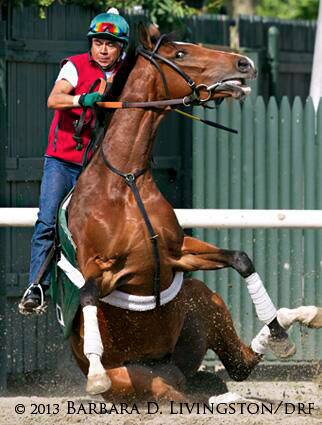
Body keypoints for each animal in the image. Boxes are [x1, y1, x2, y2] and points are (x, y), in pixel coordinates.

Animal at [66, 24, 322, 400]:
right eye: (180, 53)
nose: (244, 63)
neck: (125, 180)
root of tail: (171, 366)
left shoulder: (175, 254)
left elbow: (241, 258)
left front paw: (279, 332)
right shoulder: (103, 270)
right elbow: (86, 292)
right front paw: (96, 373)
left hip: (205, 304)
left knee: (239, 366)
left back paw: (301, 316)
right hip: (145, 380)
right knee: (183, 392)